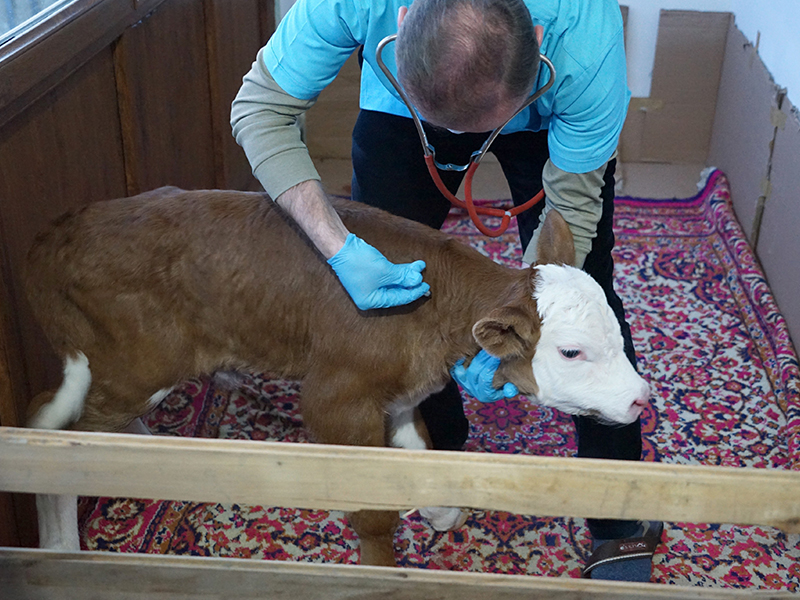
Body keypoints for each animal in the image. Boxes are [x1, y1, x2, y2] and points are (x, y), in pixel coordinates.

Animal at [23, 189, 648, 568]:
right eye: (571, 351)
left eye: (618, 334)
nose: (642, 400)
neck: (433, 312)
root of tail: (55, 235)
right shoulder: (336, 398)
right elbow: (372, 508)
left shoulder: (398, 397)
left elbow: (418, 454)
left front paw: (439, 509)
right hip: (140, 360)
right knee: (54, 433)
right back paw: (60, 544)